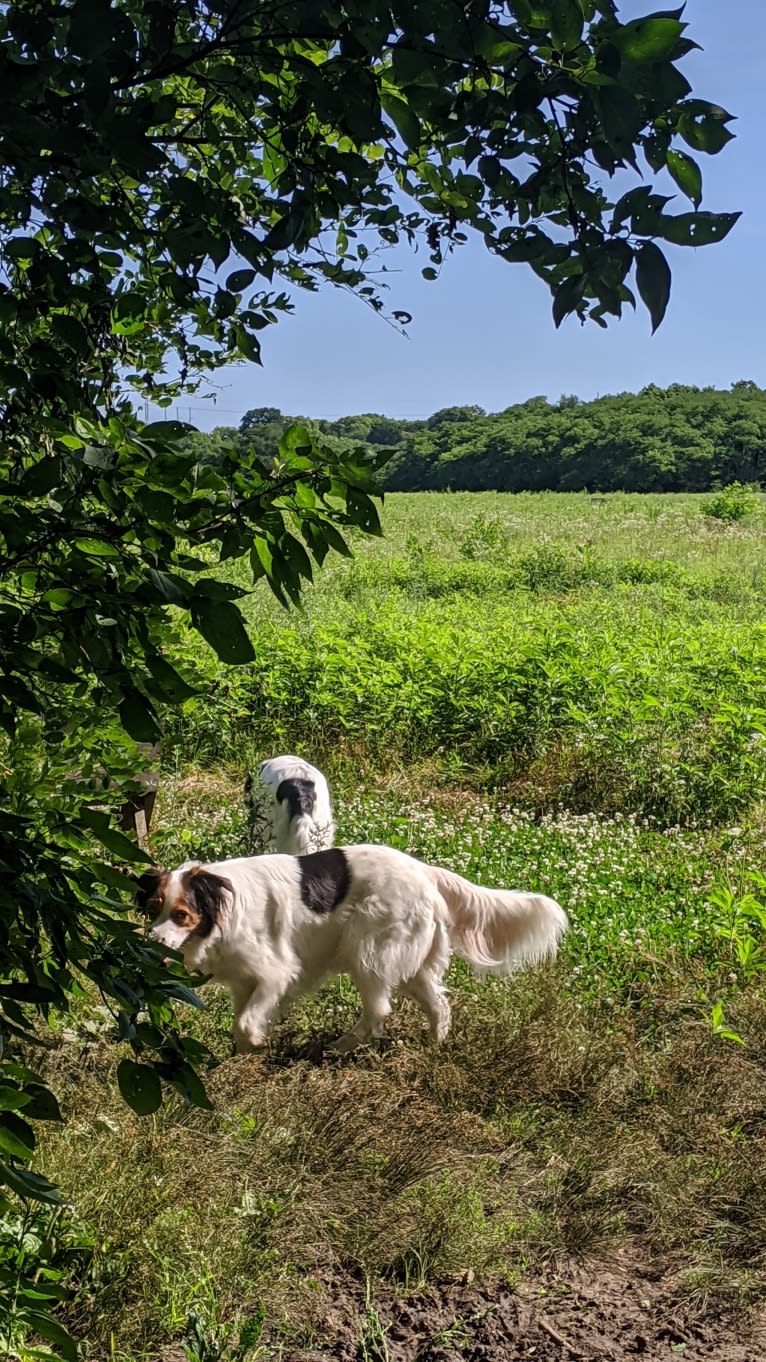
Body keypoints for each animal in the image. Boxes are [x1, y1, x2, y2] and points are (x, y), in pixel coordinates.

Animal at [138, 844, 567, 1056]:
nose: (150, 944)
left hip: (371, 954)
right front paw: (244, 1058)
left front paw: (255, 1045)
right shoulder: (245, 981)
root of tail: (424, 871)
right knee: (440, 1006)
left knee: (378, 1010)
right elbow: (242, 1022)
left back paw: (340, 1048)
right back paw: (433, 1048)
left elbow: (245, 1023)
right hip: (411, 968)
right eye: (152, 908)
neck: (222, 904)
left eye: (181, 915)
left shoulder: (276, 972)